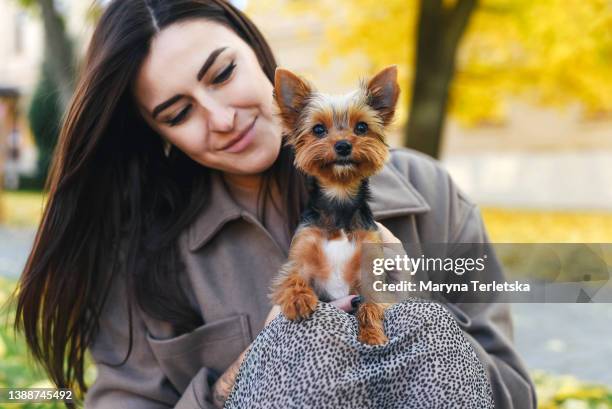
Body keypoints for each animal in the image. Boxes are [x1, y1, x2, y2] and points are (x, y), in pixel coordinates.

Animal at [270, 66, 400, 344]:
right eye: (318, 130)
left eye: (361, 127)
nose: (343, 145)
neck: (339, 198)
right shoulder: (302, 251)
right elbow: (293, 275)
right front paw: (298, 300)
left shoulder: (370, 269)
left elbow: (370, 304)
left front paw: (372, 335)